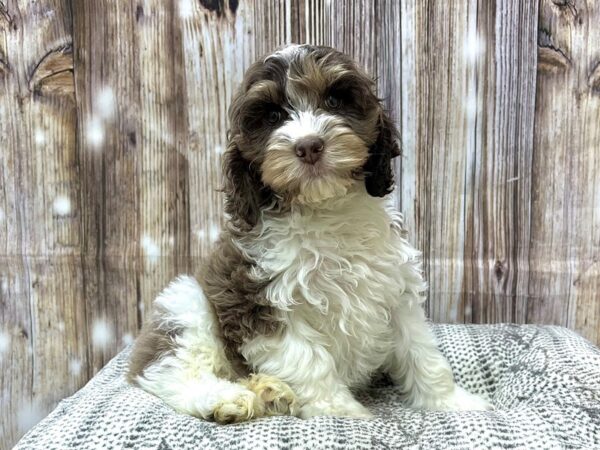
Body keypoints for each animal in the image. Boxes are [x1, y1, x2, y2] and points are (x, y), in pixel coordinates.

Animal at [127, 44, 492, 424]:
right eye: (273, 116)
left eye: (334, 100)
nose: (308, 146)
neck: (323, 209)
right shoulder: (257, 299)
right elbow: (309, 360)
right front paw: (341, 413)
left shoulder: (396, 289)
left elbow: (421, 351)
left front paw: (451, 402)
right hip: (185, 303)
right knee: (169, 371)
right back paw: (227, 399)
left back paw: (270, 391)